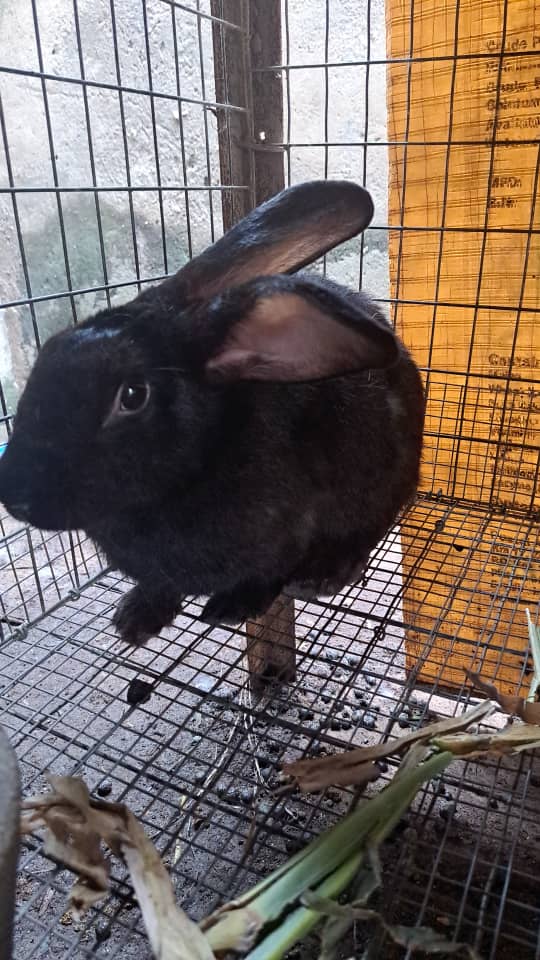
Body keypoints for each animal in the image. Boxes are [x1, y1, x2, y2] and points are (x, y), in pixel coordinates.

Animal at [0, 180, 424, 646]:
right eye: (48, 351)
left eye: (132, 396)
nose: (15, 497)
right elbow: (159, 585)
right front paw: (134, 619)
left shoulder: (289, 530)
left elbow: (267, 575)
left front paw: (231, 608)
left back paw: (326, 573)